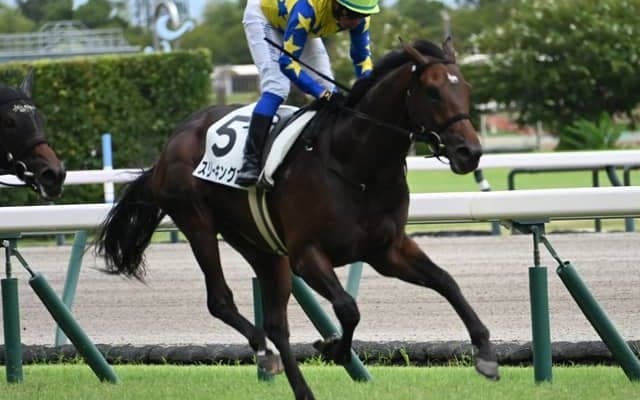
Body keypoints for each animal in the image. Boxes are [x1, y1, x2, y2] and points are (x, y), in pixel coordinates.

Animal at [96, 38, 499, 399]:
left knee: (276, 323)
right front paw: (334, 347)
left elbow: (446, 282)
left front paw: (485, 353)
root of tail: (168, 148)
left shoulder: (387, 250)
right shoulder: (307, 254)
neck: (357, 165)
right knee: (221, 301)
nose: (470, 152)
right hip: (198, 224)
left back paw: (298, 385)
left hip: (261, 246)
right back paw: (264, 353)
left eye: (466, 88)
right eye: (432, 92)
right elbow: (348, 308)